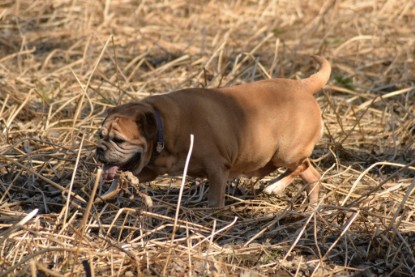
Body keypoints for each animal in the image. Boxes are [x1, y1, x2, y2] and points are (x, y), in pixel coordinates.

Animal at [96, 56, 332, 206]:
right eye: (100, 136)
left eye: (119, 140)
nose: (99, 149)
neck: (164, 125)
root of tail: (303, 86)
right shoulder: (149, 170)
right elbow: (119, 178)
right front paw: (103, 196)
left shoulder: (217, 167)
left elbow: (215, 198)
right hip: (276, 155)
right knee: (308, 175)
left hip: (286, 153)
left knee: (304, 167)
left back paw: (275, 187)